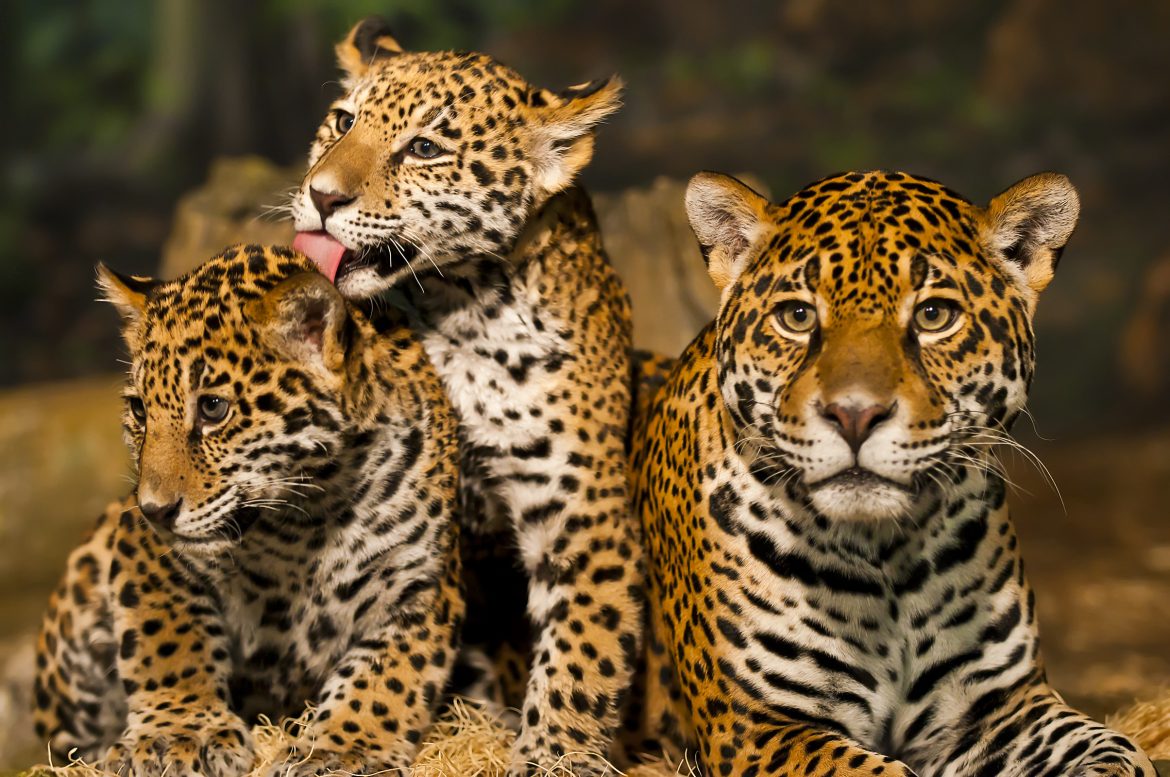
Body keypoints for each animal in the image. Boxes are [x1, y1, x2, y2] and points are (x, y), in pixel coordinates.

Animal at [33, 245, 464, 777]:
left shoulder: (422, 583)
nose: (155, 510)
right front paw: (178, 733)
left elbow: (388, 677)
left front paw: (343, 748)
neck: (310, 515)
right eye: (139, 410)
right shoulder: (143, 551)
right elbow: (168, 638)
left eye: (214, 409)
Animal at [289, 18, 642, 774]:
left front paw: (555, 754)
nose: (321, 196)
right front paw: (340, 743)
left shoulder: (585, 513)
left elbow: (584, 653)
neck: (460, 308)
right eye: (342, 121)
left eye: (425, 148)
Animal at [627, 169, 1157, 776]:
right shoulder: (757, 728)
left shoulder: (1001, 705)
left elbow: (1115, 749)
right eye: (797, 317)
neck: (885, 558)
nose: (855, 415)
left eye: (933, 316)